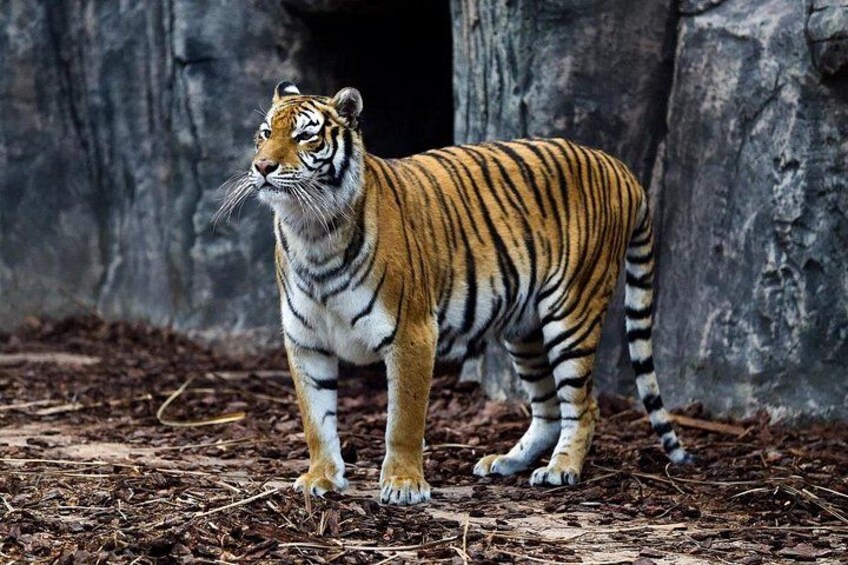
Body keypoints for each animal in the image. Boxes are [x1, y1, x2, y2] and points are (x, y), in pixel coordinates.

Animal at [218, 81, 693, 506]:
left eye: (305, 135)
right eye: (265, 133)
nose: (262, 167)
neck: (311, 231)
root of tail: (618, 165)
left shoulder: (411, 334)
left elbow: (403, 421)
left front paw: (404, 486)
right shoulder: (306, 340)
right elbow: (316, 419)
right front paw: (321, 478)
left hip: (570, 315)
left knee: (584, 405)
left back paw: (561, 469)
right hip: (525, 330)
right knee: (547, 408)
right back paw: (506, 462)